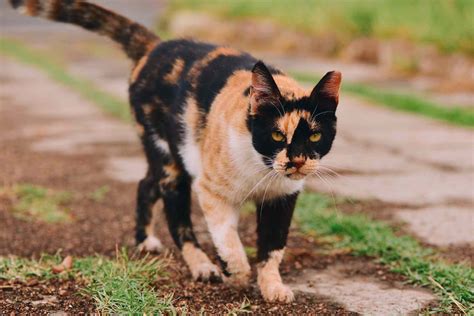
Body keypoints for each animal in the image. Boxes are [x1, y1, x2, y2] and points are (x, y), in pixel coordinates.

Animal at [10, 0, 340, 302]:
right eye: (276, 134)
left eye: (315, 135)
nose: (297, 161)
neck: (261, 167)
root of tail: (156, 46)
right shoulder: (212, 191)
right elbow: (227, 237)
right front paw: (235, 270)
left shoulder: (282, 197)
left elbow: (273, 247)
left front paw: (273, 287)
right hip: (167, 156)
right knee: (177, 218)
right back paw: (202, 266)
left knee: (145, 184)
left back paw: (146, 240)